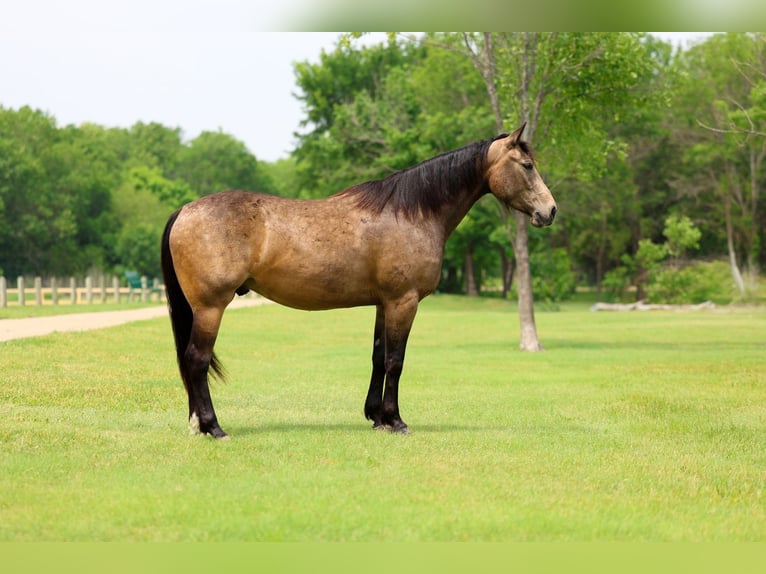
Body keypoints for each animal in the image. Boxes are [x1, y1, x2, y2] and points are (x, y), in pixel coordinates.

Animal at [160, 124, 557, 439]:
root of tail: (185, 210)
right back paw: (213, 427)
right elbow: (396, 360)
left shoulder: (384, 303)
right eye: (527, 166)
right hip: (210, 307)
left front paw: (376, 417)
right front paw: (396, 421)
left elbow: (378, 357)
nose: (550, 211)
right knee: (197, 360)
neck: (410, 213)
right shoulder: (403, 301)